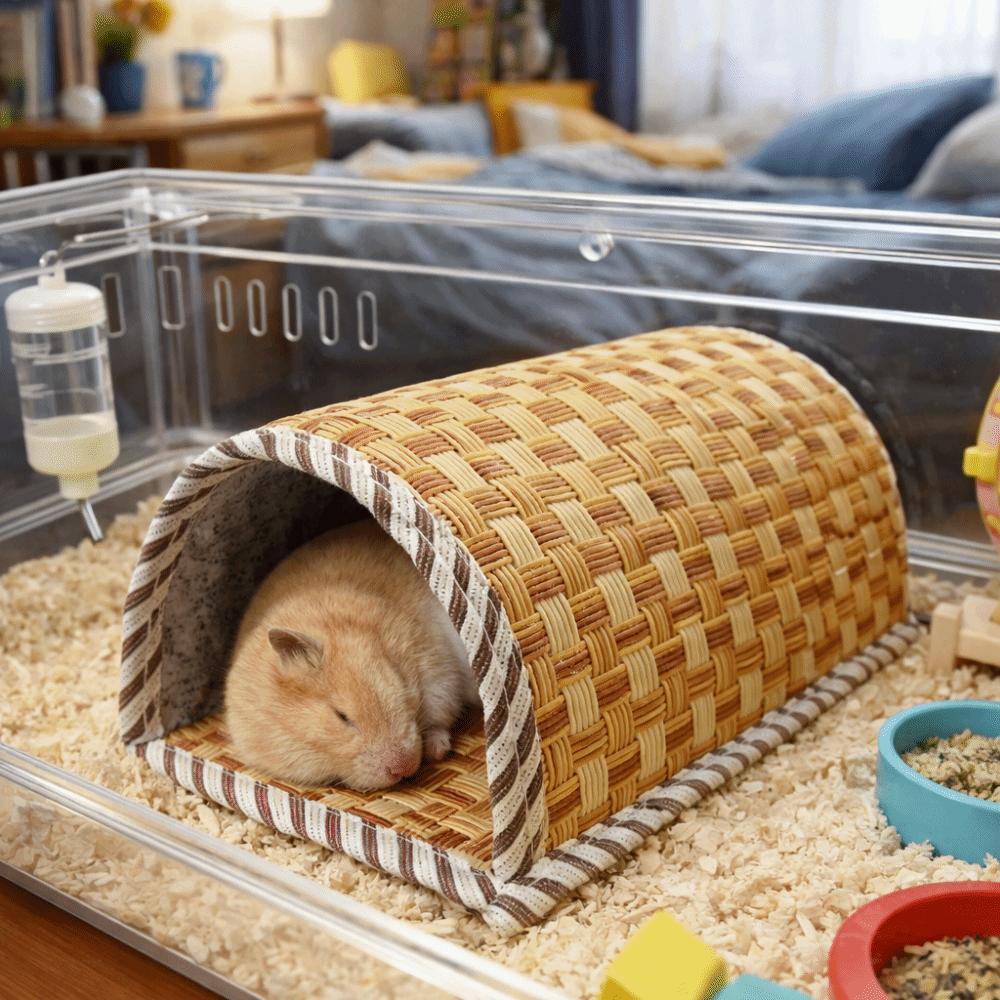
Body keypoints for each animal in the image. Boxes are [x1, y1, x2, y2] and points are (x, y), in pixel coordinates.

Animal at [224, 519, 478, 791]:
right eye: (341, 716)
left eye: (400, 684)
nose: (405, 768)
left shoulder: (438, 671)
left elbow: (439, 715)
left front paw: (436, 750)